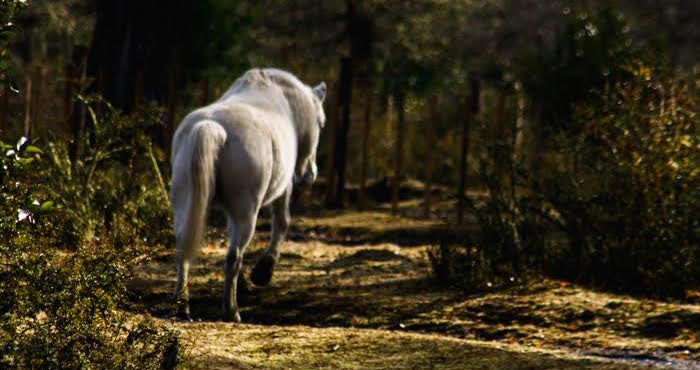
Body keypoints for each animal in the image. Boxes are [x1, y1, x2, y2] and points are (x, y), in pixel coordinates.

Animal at [171, 68, 326, 320]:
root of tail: (212, 127)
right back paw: (231, 310)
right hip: (247, 213)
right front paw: (263, 272)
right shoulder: (284, 188)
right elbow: (282, 222)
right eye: (321, 123)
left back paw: (181, 305)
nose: (311, 173)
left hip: (186, 207)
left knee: (184, 251)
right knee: (233, 257)